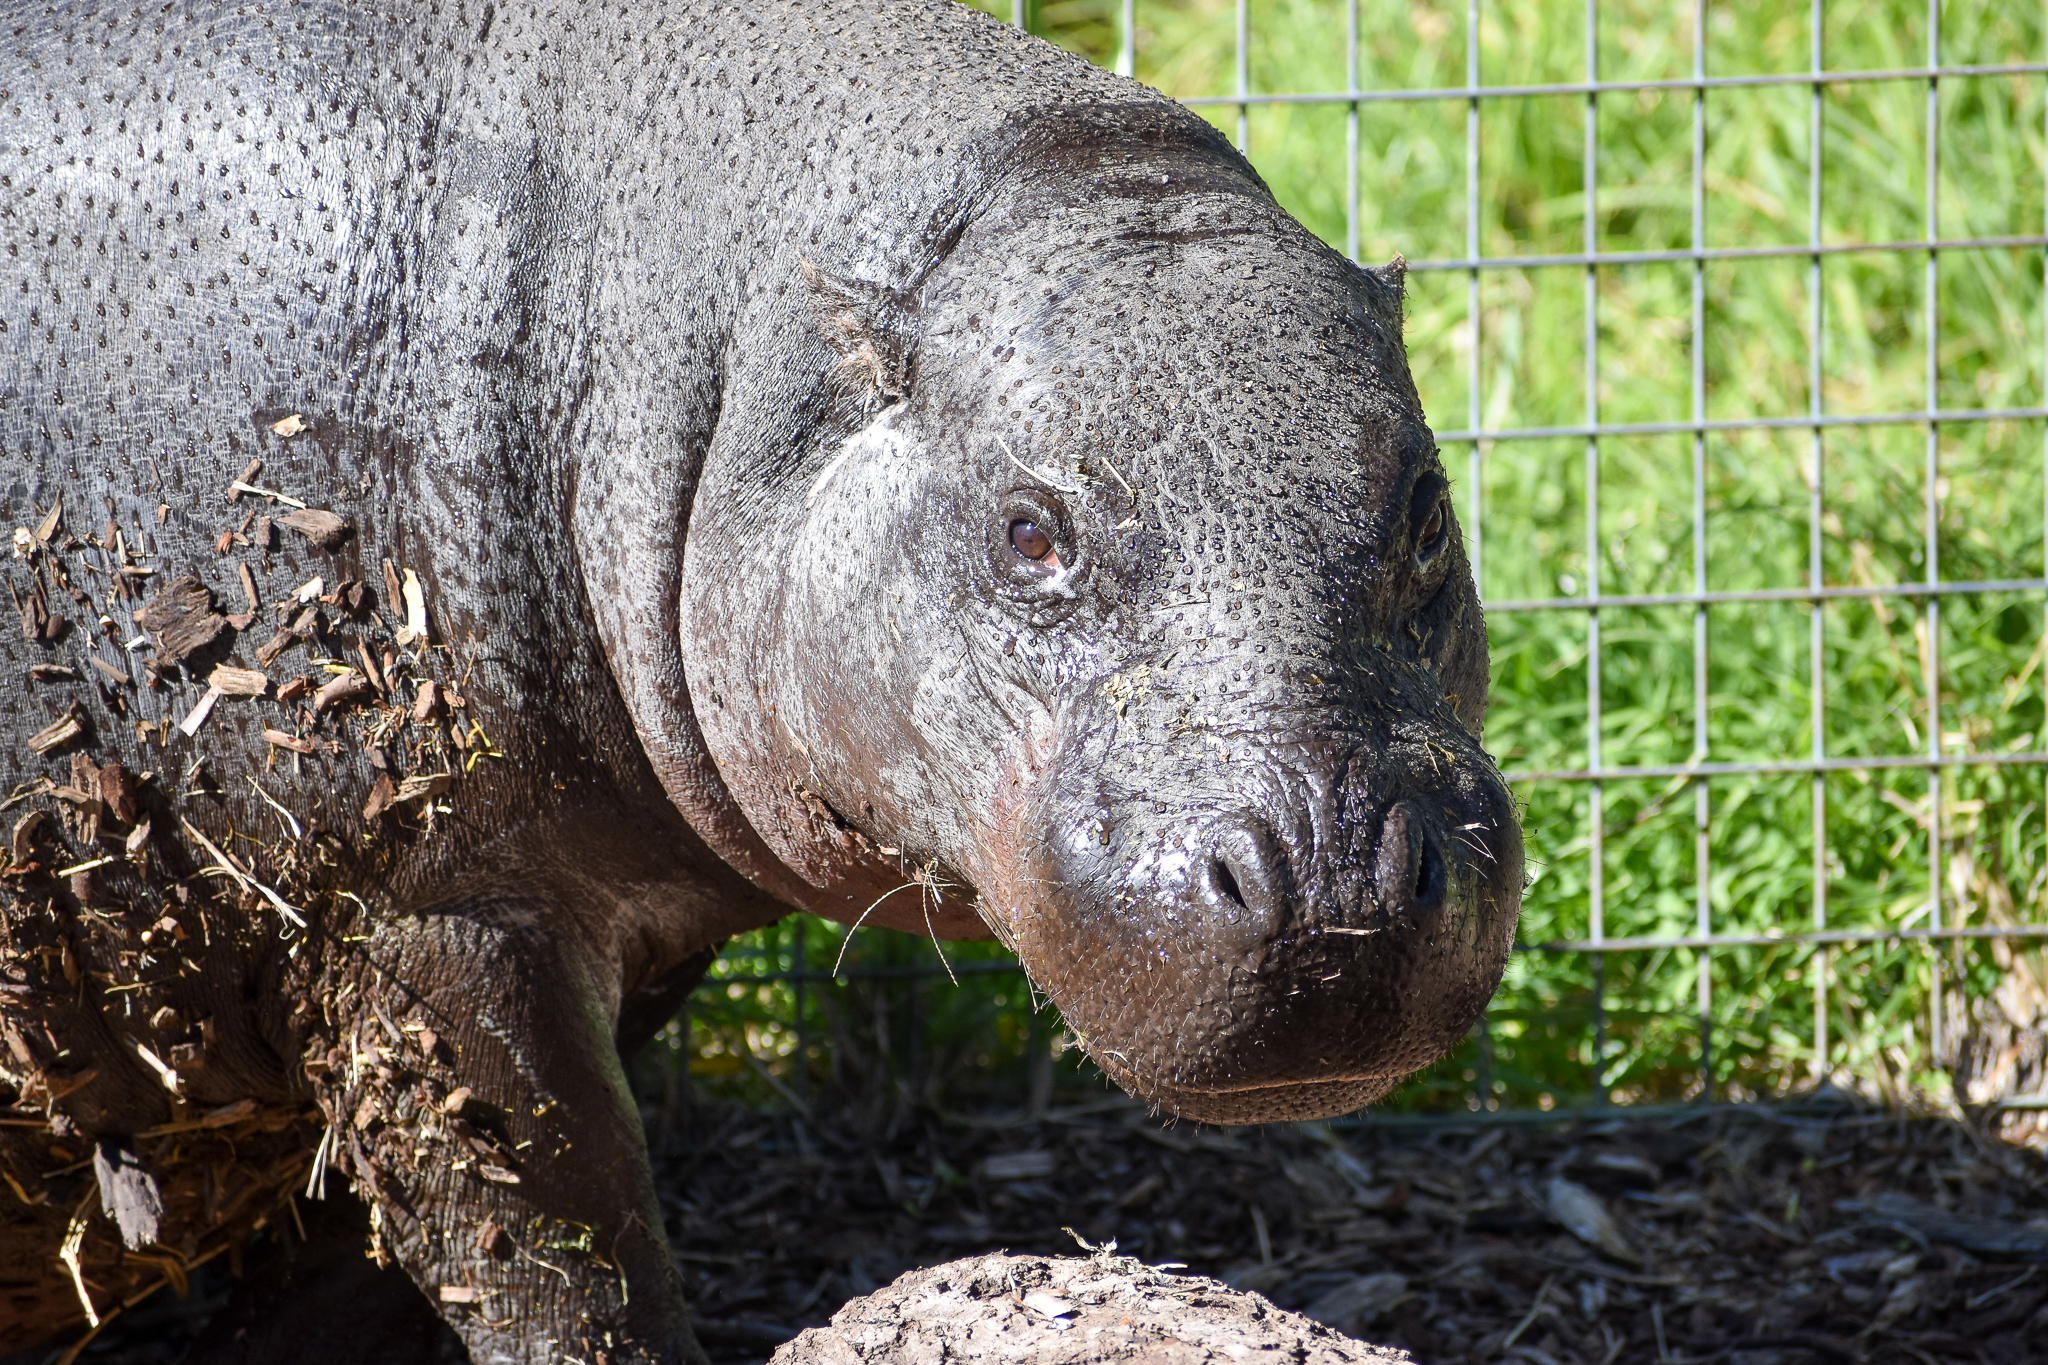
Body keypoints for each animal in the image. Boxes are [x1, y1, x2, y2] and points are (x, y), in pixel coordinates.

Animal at [0, 0, 1523, 1359]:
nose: (1330, 888)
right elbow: (558, 1268)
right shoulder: (417, 916)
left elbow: (362, 1269)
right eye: (1030, 530)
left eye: (1426, 511)